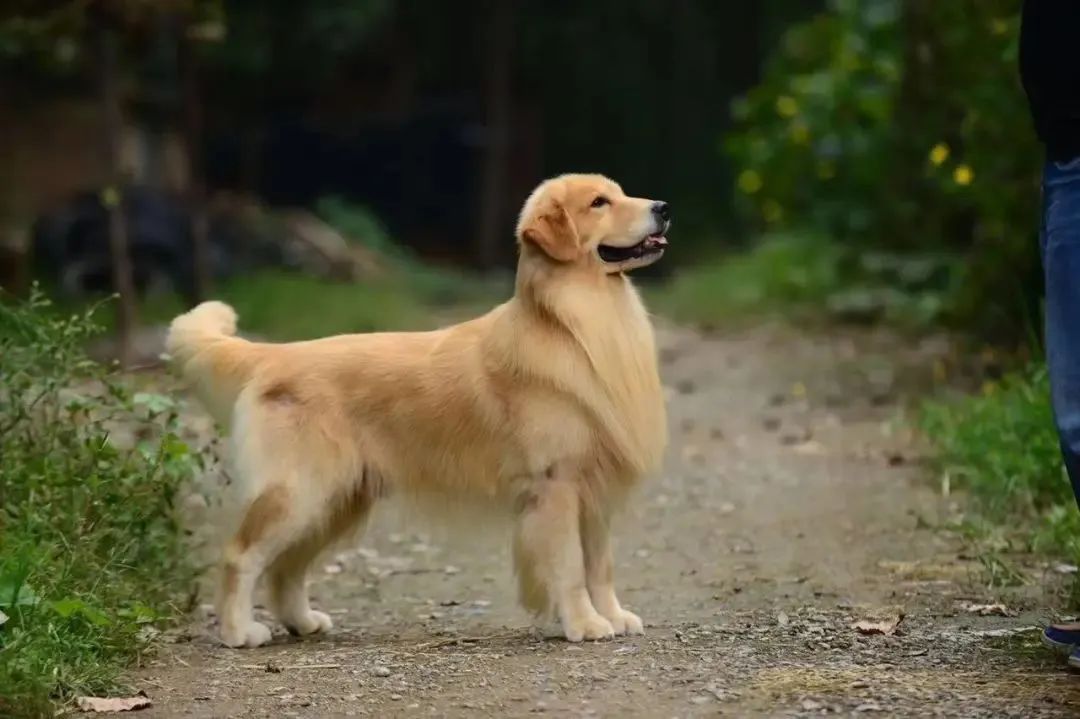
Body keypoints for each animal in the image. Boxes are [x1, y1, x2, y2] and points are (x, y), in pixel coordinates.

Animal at [165, 173, 669, 643]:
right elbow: (569, 566)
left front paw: (614, 615)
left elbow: (600, 564)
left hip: (336, 501)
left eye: (620, 193)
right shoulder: (556, 484)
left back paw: (303, 622)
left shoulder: (595, 490)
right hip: (299, 492)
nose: (663, 207)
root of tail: (274, 355)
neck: (577, 323)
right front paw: (585, 623)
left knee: (288, 566)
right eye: (599, 203)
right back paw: (238, 631)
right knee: (242, 554)